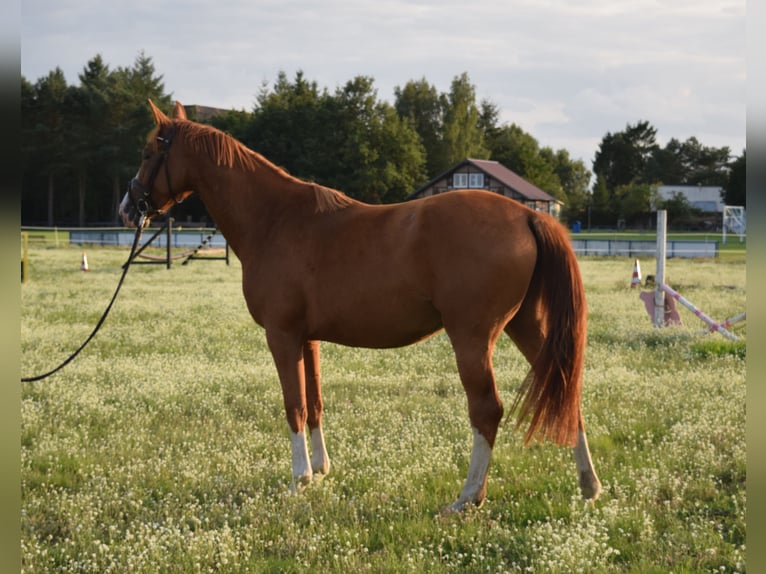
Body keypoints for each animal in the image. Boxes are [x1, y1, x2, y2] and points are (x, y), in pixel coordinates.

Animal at [119, 100, 601, 512]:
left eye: (147, 151)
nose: (128, 207)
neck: (276, 220)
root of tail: (528, 215)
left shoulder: (281, 336)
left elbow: (293, 406)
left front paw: (298, 480)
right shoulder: (307, 339)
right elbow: (314, 403)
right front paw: (320, 470)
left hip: (472, 337)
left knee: (487, 410)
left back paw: (467, 497)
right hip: (526, 327)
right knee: (566, 387)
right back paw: (588, 484)